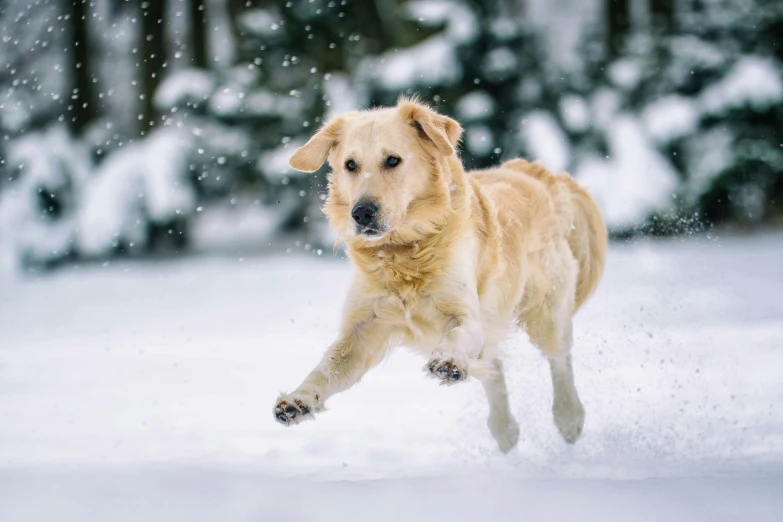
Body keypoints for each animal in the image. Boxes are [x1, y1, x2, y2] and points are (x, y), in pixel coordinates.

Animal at [272, 97, 608, 450]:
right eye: (350, 165)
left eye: (393, 160)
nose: (361, 213)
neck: (403, 253)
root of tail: (535, 173)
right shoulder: (362, 328)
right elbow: (326, 368)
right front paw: (298, 400)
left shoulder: (466, 314)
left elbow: (457, 335)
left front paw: (448, 362)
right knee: (494, 367)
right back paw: (504, 429)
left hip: (547, 312)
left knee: (560, 359)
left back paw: (568, 417)